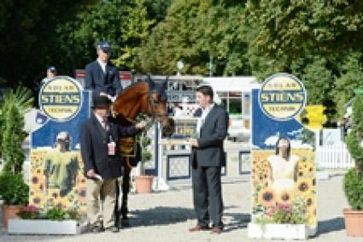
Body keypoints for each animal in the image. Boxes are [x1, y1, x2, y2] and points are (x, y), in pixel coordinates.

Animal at [112, 75, 175, 225]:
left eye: (166, 100)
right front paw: (116, 215)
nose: (168, 127)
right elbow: (115, 188)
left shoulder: (128, 163)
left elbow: (125, 186)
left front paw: (124, 215)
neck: (121, 121)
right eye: (155, 100)